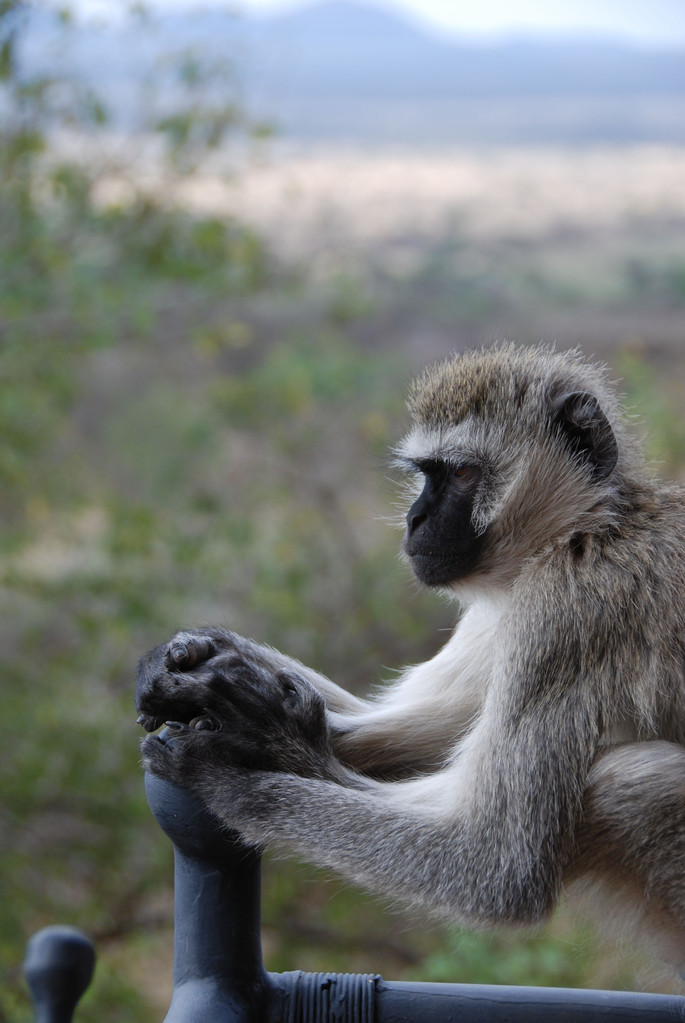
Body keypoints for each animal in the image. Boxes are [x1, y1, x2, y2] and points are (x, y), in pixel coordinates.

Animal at [137, 341, 685, 965]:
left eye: (463, 472)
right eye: (426, 474)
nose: (414, 519)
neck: (586, 527)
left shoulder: (568, 614)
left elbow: (492, 865)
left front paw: (243, 766)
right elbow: (416, 729)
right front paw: (212, 664)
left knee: (636, 781)